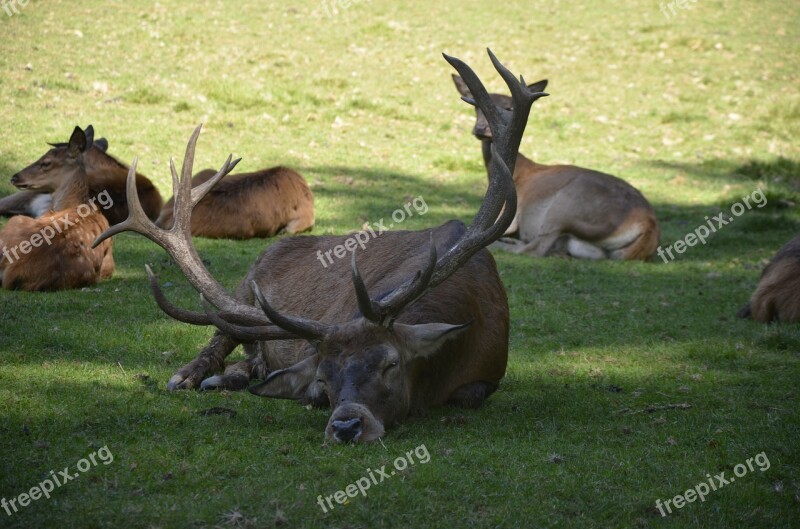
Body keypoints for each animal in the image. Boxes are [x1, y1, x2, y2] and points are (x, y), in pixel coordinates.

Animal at [454, 76, 660, 260]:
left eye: (508, 107)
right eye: (476, 107)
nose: (481, 129)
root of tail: (648, 225)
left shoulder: (512, 216)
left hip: (564, 208)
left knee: (535, 248)